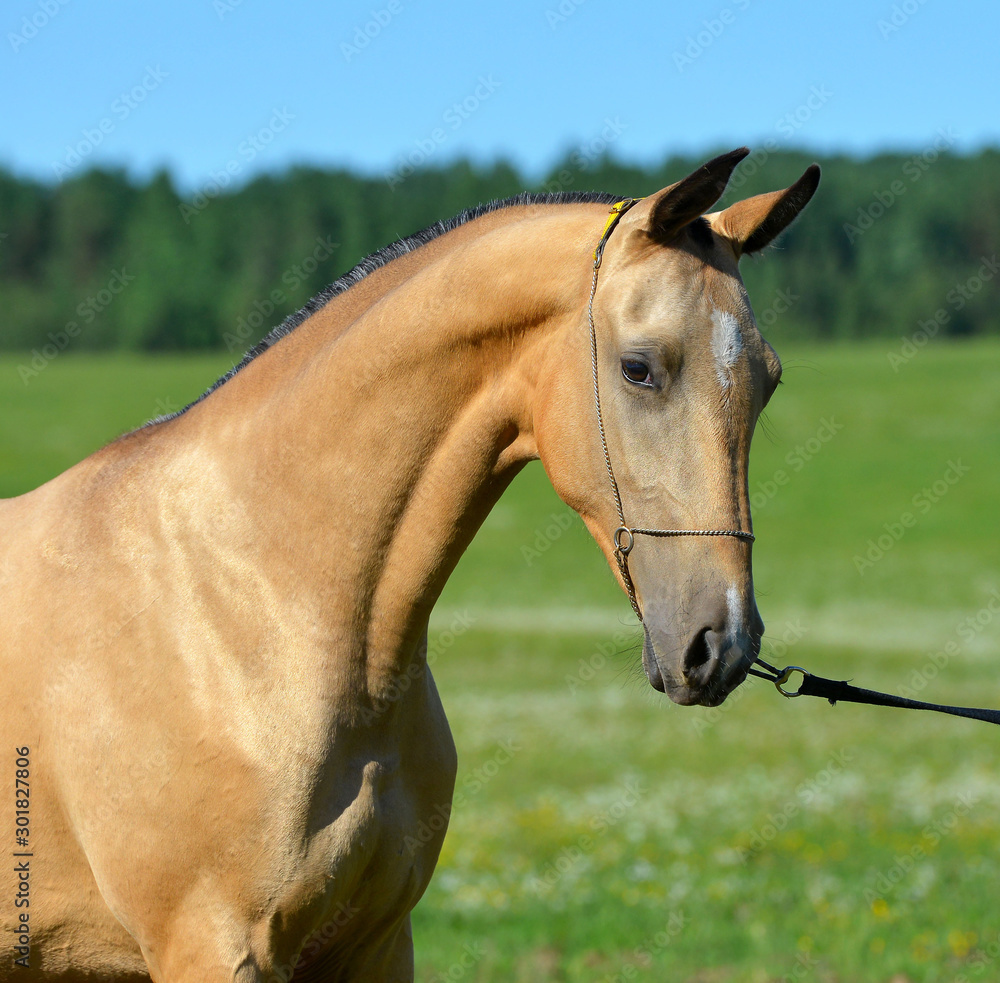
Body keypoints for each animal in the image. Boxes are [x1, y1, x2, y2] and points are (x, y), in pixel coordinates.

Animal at [0, 147, 819, 981]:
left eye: (769, 379)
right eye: (639, 368)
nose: (720, 643)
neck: (249, 602)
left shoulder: (378, 942)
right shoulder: (210, 947)